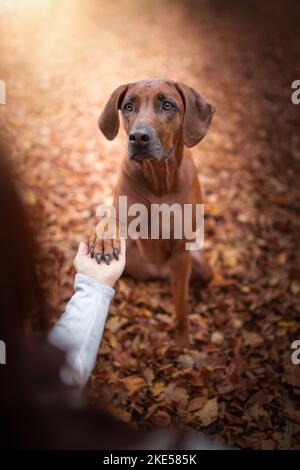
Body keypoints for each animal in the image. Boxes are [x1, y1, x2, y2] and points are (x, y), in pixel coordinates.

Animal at [89, 77, 216, 342]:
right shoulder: (122, 213)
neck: (160, 179)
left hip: (199, 265)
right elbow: (109, 222)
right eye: (128, 106)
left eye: (168, 105)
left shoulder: (181, 250)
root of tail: (157, 271)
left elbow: (181, 305)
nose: (138, 137)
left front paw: (182, 340)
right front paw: (104, 241)